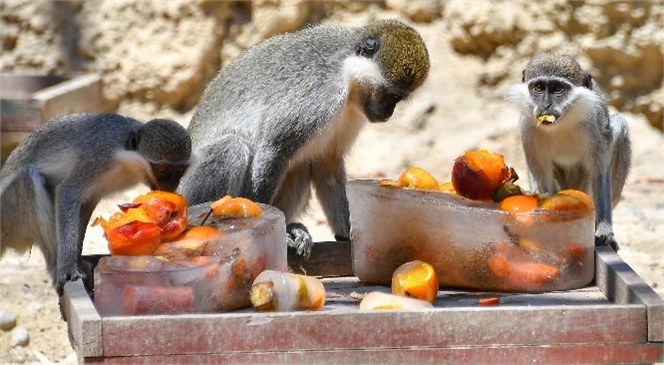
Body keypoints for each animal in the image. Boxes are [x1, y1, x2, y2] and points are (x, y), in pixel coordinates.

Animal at [0, 112, 192, 292]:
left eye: (179, 170)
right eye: (162, 168)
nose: (170, 186)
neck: (125, 158)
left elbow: (87, 202)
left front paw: (78, 260)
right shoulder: (98, 159)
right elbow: (68, 192)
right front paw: (68, 268)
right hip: (9, 214)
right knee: (28, 178)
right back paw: (55, 265)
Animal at [506, 52, 632, 250]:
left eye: (558, 88)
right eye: (539, 87)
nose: (546, 106)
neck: (563, 120)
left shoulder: (594, 126)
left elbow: (600, 173)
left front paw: (604, 230)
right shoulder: (528, 128)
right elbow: (543, 181)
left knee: (619, 124)